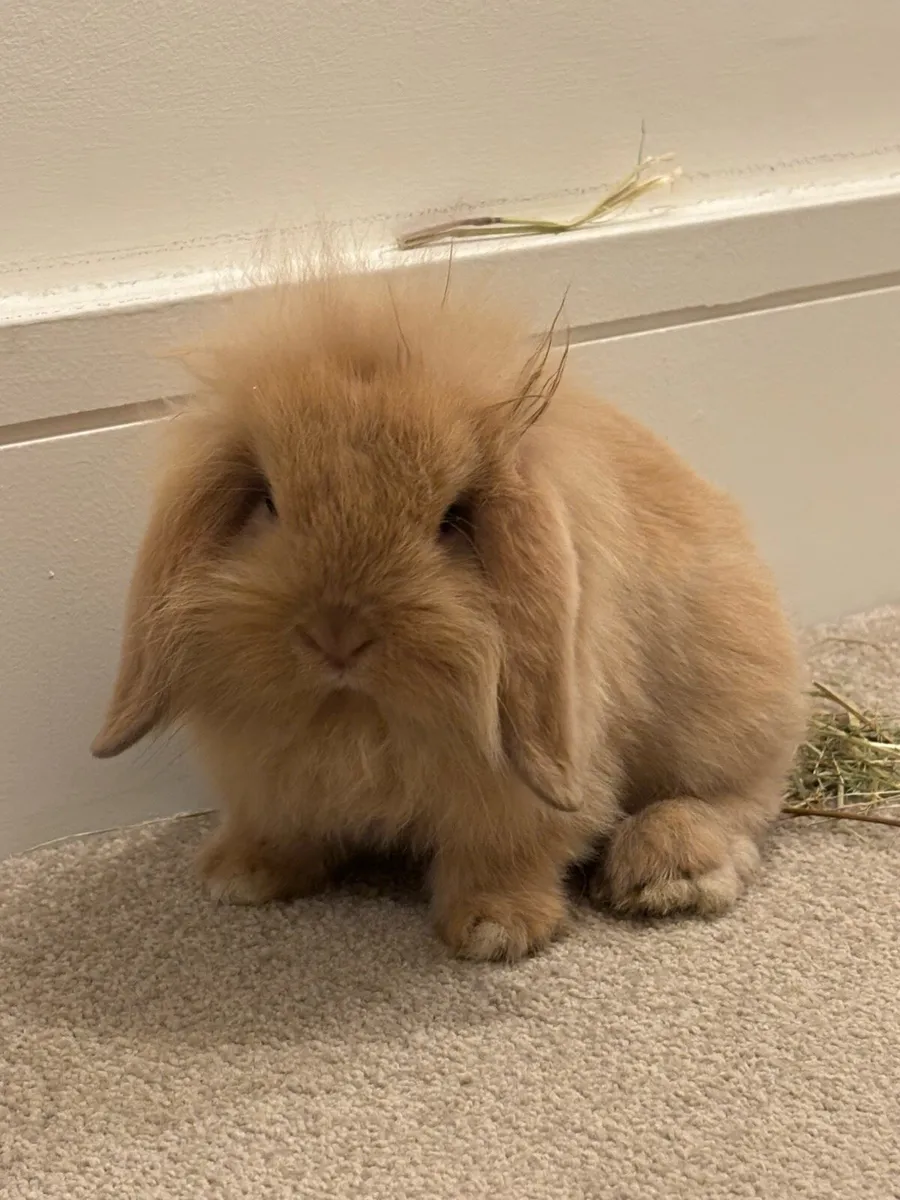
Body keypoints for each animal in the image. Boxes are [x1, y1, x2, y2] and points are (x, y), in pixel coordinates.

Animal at [92, 264, 806, 962]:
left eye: (454, 519)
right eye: (267, 501)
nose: (336, 634)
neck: (358, 715)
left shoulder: (519, 795)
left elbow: (505, 850)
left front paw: (496, 930)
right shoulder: (267, 775)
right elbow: (280, 824)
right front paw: (236, 878)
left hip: (725, 718)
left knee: (739, 799)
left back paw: (667, 873)